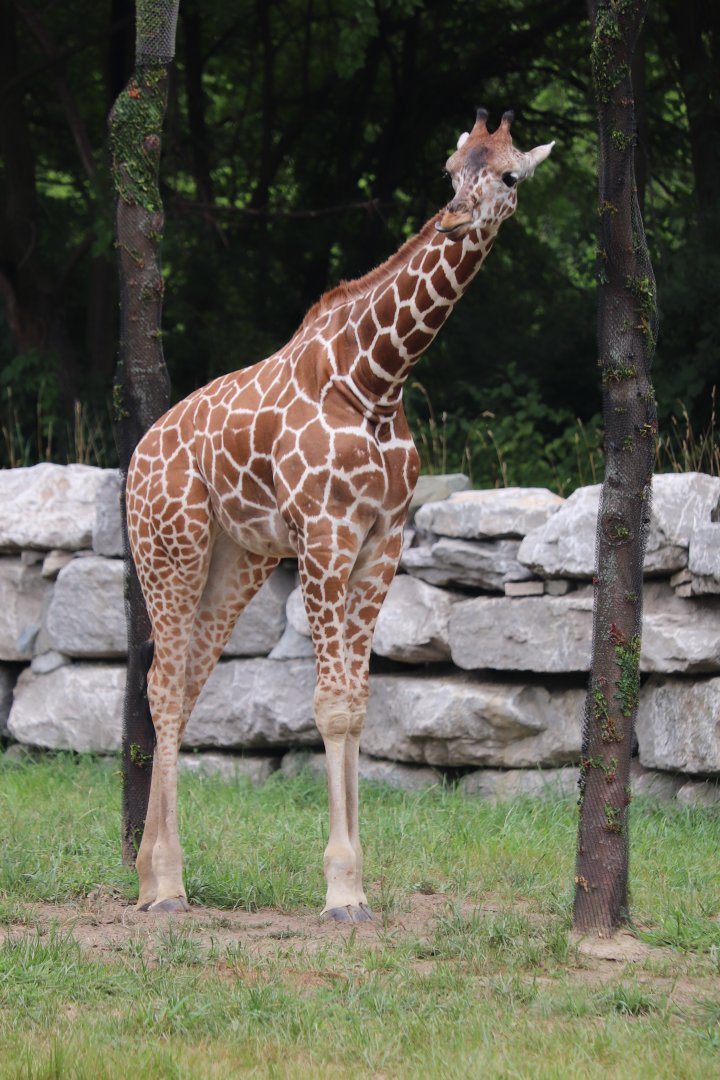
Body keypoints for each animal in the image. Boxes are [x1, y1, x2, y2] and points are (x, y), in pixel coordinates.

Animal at [125, 109, 554, 919]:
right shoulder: (326, 534)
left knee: (185, 682)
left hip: (238, 559)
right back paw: (165, 884)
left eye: (510, 175)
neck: (377, 379)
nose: (455, 219)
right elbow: (328, 706)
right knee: (163, 687)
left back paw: (149, 874)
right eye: (451, 169)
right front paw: (340, 890)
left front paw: (357, 881)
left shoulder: (382, 540)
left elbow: (357, 703)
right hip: (171, 546)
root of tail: (136, 457)